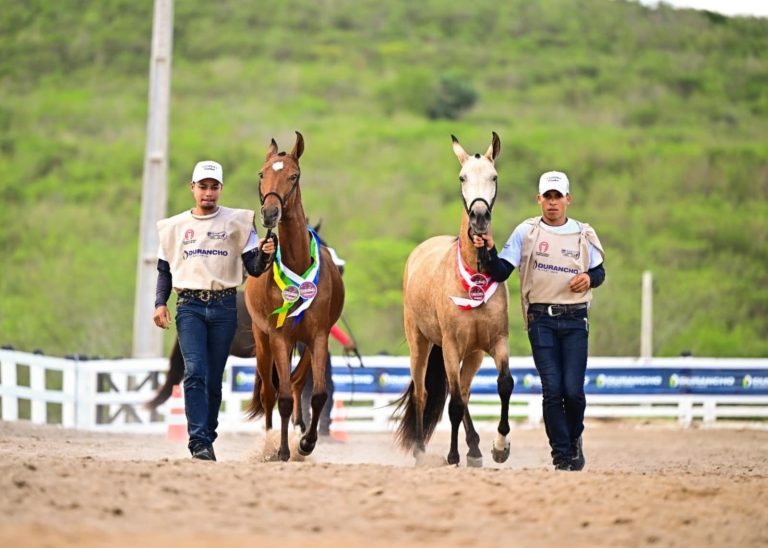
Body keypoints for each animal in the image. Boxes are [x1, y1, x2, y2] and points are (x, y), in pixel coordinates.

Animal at [244, 131, 344, 461]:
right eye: (262, 174)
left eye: (294, 176)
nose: (269, 213)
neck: (298, 264)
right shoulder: (279, 337)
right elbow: (283, 398)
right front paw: (283, 450)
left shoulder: (318, 337)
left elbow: (318, 394)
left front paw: (306, 443)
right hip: (264, 341)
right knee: (269, 393)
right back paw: (269, 442)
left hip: (304, 346)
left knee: (298, 383)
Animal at [394, 132, 513, 467]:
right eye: (462, 177)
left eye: (494, 176)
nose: (479, 217)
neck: (475, 276)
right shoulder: (450, 346)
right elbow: (455, 403)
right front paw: (452, 455)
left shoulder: (496, 342)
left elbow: (504, 385)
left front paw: (500, 447)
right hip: (420, 343)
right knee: (424, 393)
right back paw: (421, 450)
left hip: (472, 354)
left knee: (464, 389)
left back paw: (474, 448)